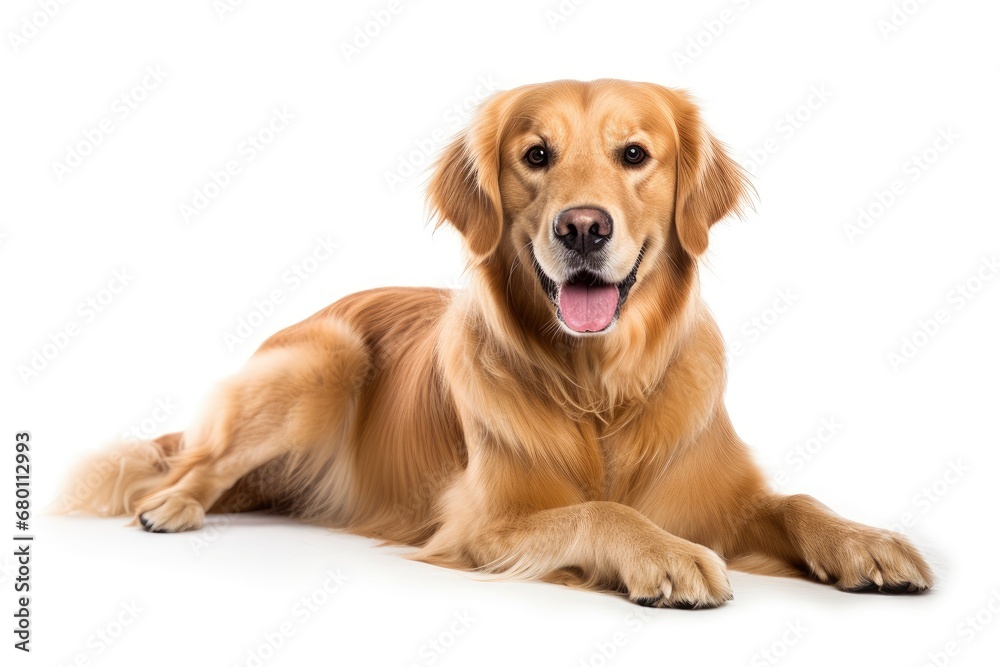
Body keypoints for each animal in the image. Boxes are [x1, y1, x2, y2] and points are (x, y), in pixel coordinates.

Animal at [64, 79, 936, 612]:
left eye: (634, 154)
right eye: (535, 155)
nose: (582, 227)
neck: (598, 388)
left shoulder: (718, 489)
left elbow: (795, 501)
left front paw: (868, 542)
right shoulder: (484, 522)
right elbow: (602, 509)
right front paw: (666, 555)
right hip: (323, 362)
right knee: (189, 465)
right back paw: (170, 506)